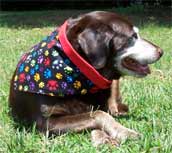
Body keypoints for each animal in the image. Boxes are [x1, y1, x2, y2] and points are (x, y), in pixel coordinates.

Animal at [9, 11, 163, 146]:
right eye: (133, 37)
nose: (161, 52)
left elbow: (99, 113)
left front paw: (112, 133)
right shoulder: (45, 122)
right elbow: (98, 115)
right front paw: (120, 133)